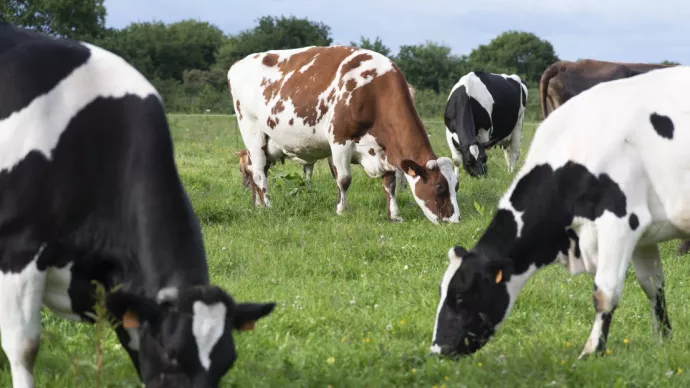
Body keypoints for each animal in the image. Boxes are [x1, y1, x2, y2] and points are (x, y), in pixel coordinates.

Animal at [228, 45, 460, 223]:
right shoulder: (339, 141)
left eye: (456, 186)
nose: (454, 220)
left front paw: (395, 215)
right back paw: (268, 206)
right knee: (259, 172)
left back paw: (257, 205)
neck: (374, 92)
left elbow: (390, 184)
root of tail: (239, 64)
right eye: (440, 187)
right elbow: (344, 179)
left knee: (252, 168)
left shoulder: (385, 149)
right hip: (252, 132)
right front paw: (341, 210)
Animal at [428, 66, 688, 360]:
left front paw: (591, 353)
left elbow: (606, 291)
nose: (437, 349)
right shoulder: (643, 236)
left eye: (461, 296)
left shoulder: (620, 223)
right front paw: (664, 340)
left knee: (512, 152)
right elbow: (653, 285)